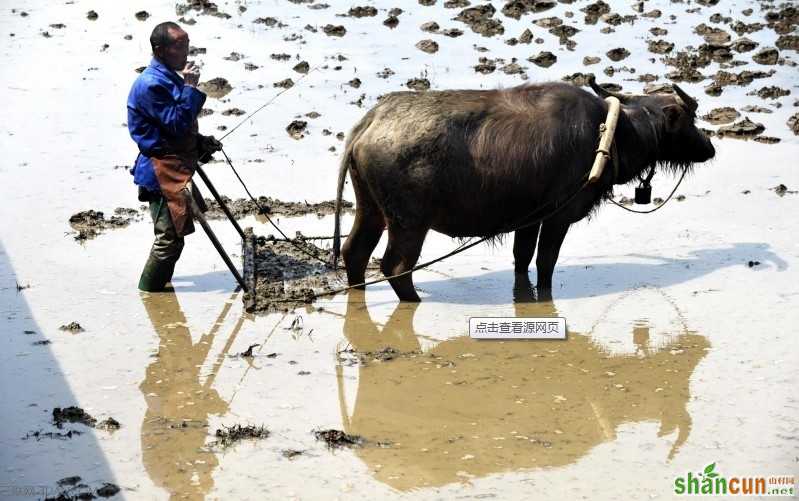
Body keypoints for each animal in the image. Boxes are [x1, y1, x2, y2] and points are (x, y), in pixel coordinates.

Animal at [334, 81, 716, 300]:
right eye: (689, 120)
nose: (710, 148)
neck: (609, 133)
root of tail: (369, 123)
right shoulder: (558, 216)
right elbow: (546, 262)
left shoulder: (528, 219)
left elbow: (522, 258)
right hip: (409, 223)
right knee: (396, 266)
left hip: (370, 209)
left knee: (354, 252)